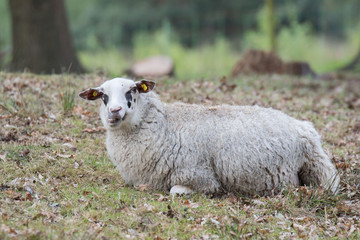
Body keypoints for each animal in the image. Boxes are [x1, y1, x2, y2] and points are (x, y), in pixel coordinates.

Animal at [79, 78, 340, 196]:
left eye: (132, 90)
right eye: (102, 95)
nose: (114, 111)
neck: (165, 125)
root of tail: (303, 125)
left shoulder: (200, 175)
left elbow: (176, 191)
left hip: (319, 168)